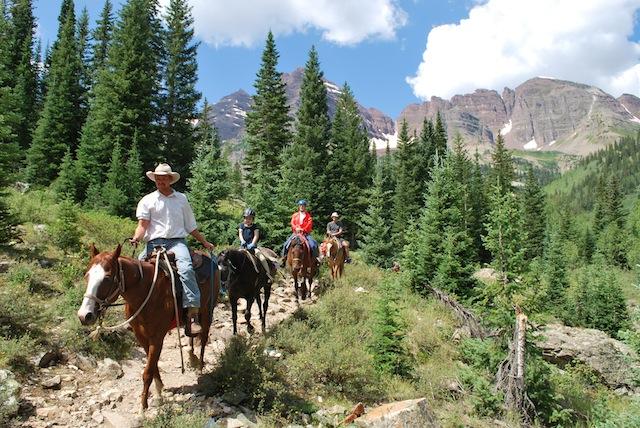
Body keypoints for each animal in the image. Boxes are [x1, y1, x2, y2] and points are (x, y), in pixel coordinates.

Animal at [76, 244, 219, 410]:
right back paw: (192, 357)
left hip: (208, 311)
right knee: (191, 333)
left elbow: (148, 371)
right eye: (87, 276)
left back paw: (200, 367)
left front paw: (143, 408)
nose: (85, 315)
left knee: (203, 338)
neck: (145, 292)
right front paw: (158, 393)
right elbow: (153, 366)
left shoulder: (157, 338)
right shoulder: (141, 336)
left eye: (107, 278)